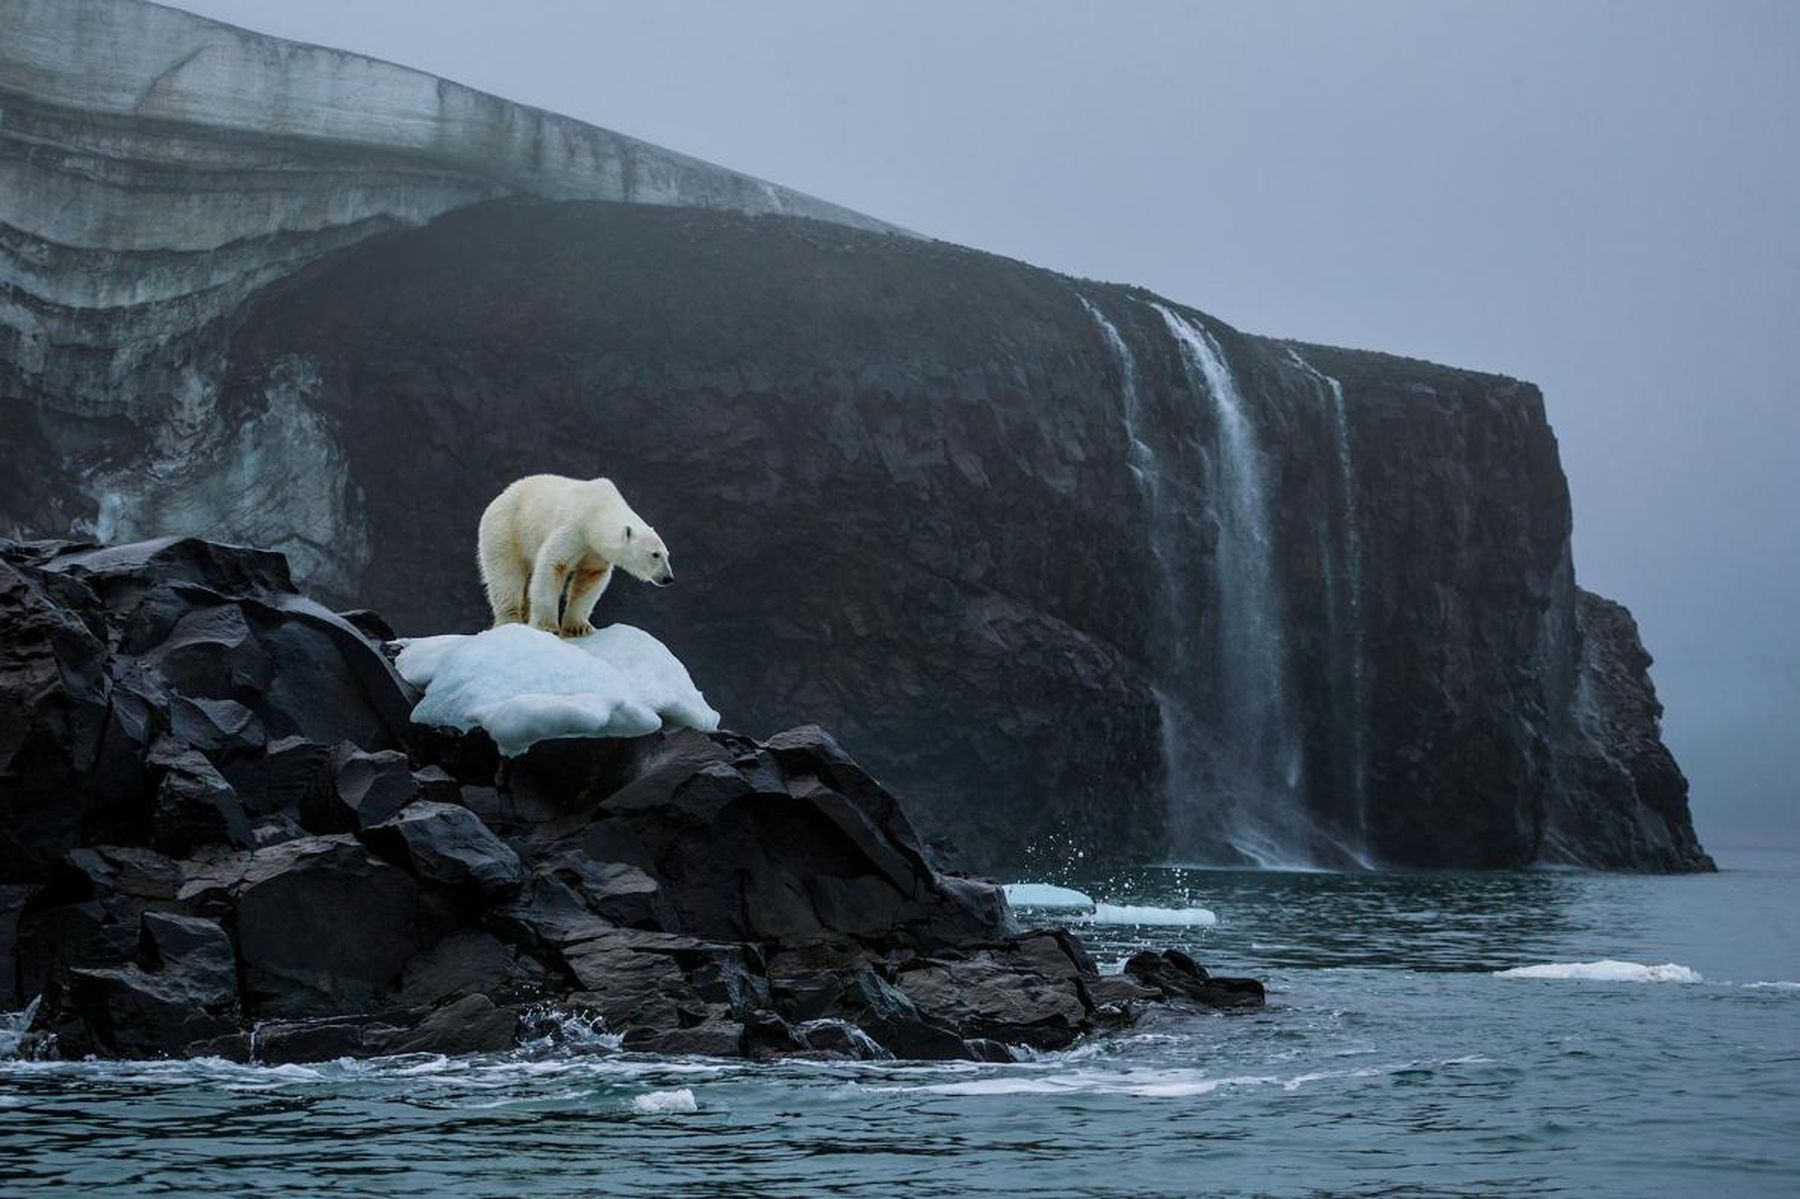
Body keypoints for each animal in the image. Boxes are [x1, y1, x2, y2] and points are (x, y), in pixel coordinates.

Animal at [475, 471, 673, 633]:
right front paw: (547, 627)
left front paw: (579, 627)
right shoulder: (574, 528)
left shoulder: (595, 550)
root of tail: (501, 496)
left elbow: (590, 578)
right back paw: (510, 620)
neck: (597, 511)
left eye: (667, 554)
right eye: (655, 554)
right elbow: (554, 564)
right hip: (506, 530)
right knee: (506, 575)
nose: (668, 578)